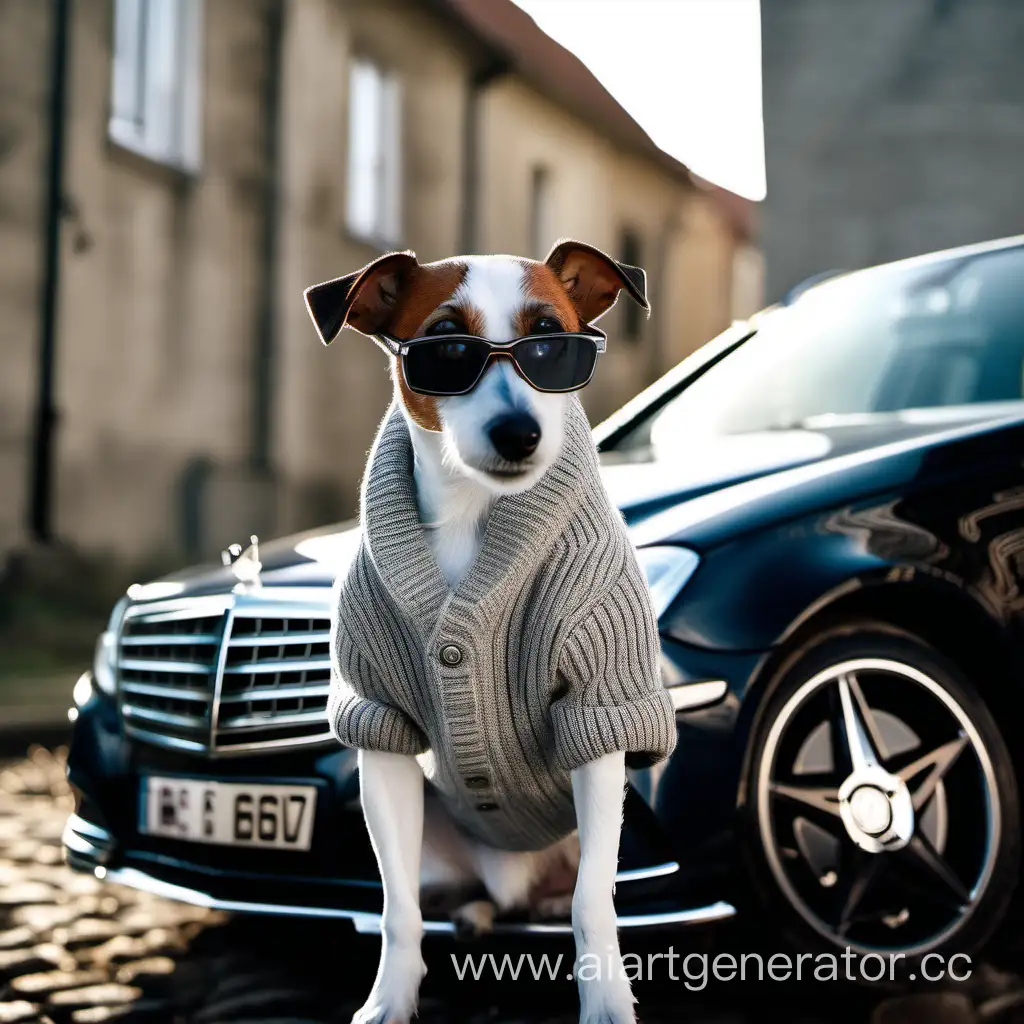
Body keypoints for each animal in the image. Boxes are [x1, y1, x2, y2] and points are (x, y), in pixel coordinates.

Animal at [299, 241, 675, 1024]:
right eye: (446, 347)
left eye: (551, 342)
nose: (518, 432)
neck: (475, 514)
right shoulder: (381, 736)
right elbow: (397, 908)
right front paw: (390, 999)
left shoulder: (599, 717)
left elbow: (595, 901)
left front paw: (606, 1005)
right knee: (457, 897)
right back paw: (476, 914)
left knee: (570, 894)